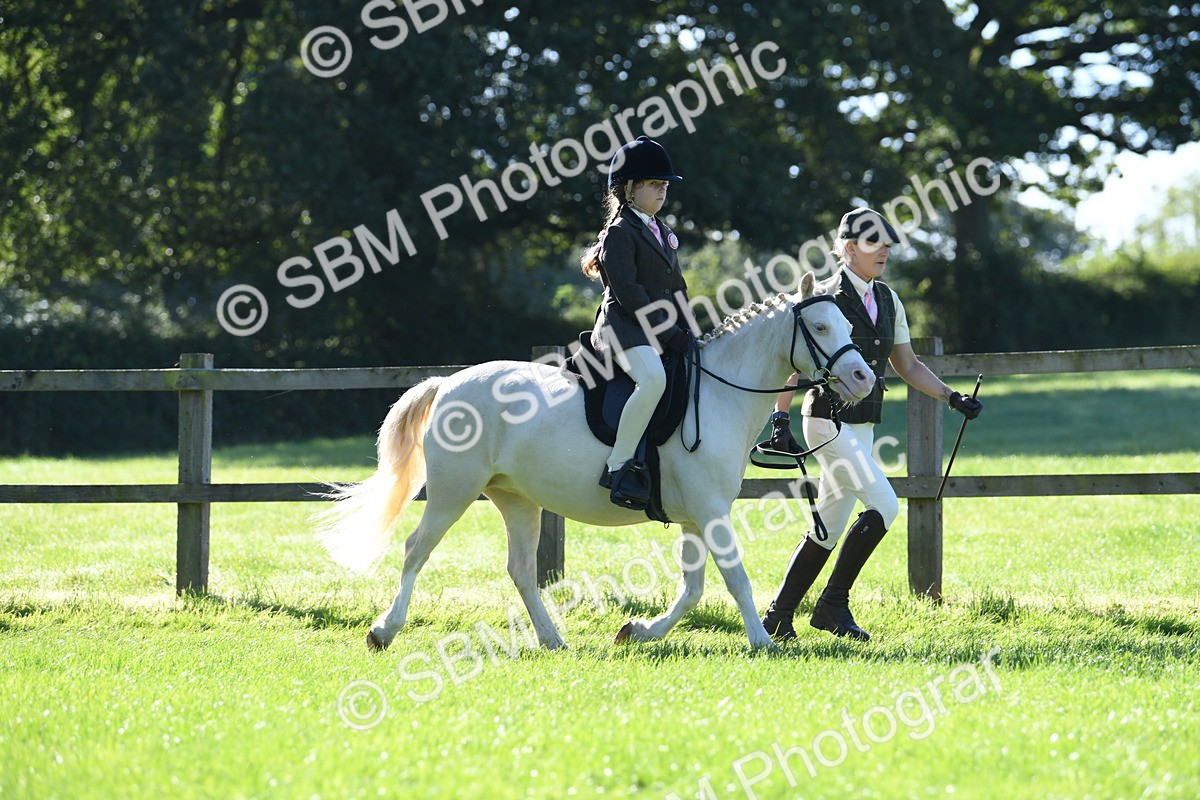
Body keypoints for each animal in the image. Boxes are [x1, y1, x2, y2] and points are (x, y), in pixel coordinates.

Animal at [316, 271, 875, 650]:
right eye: (820, 326)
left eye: (845, 322)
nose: (864, 378)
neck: (719, 393)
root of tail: (449, 382)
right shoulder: (712, 511)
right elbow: (734, 578)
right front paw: (763, 641)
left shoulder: (697, 516)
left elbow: (693, 588)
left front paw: (639, 631)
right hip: (454, 492)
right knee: (416, 550)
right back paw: (384, 630)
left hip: (515, 499)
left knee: (520, 569)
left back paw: (551, 639)